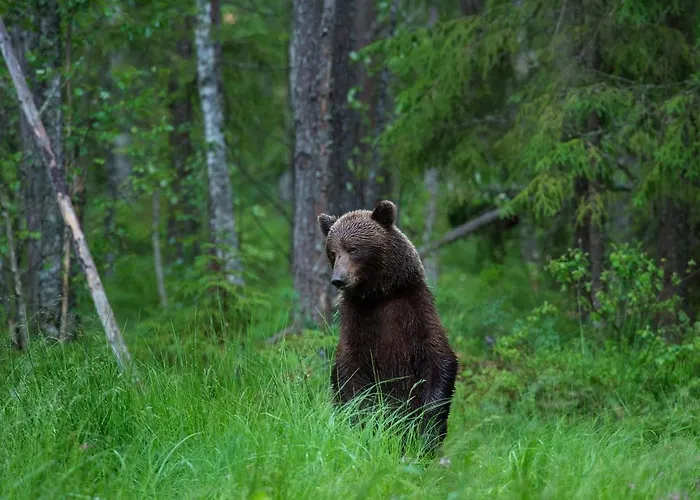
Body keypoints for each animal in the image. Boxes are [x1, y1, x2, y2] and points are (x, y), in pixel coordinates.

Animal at [318, 199, 459, 454]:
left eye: (353, 249)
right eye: (333, 252)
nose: (338, 279)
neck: (379, 296)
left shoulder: (416, 312)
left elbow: (438, 359)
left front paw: (426, 430)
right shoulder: (356, 322)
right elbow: (349, 372)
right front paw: (368, 422)